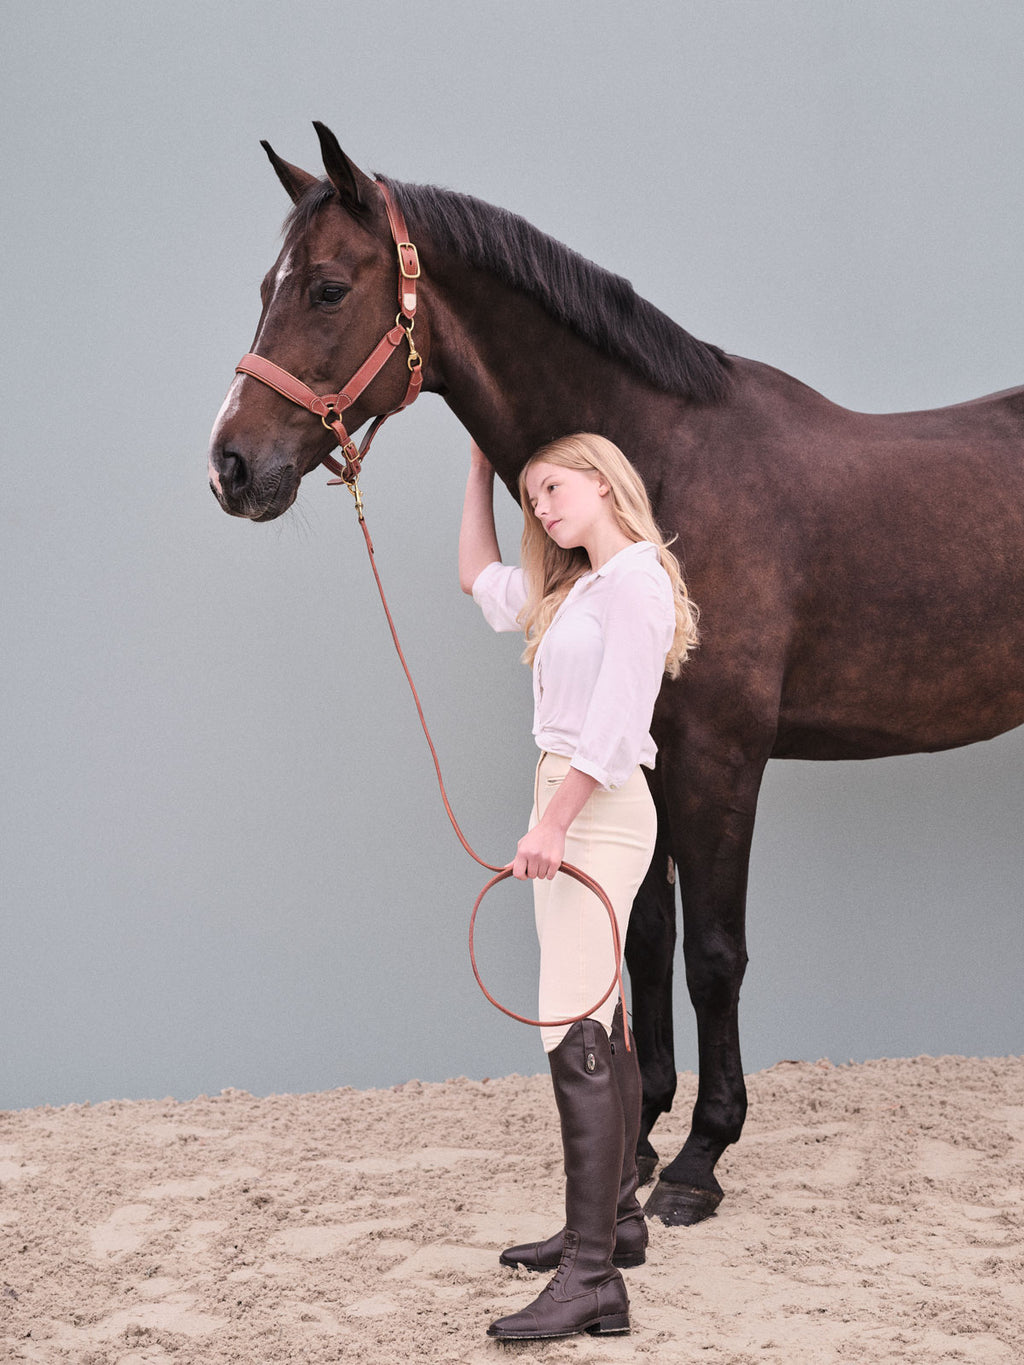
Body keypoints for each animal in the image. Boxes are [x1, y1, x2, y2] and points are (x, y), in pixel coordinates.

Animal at [208, 122, 1024, 1226]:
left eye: (329, 289)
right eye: (267, 285)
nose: (230, 466)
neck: (665, 471)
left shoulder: (719, 754)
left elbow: (712, 954)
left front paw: (699, 1160)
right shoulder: (641, 749)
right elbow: (638, 937)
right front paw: (638, 1142)